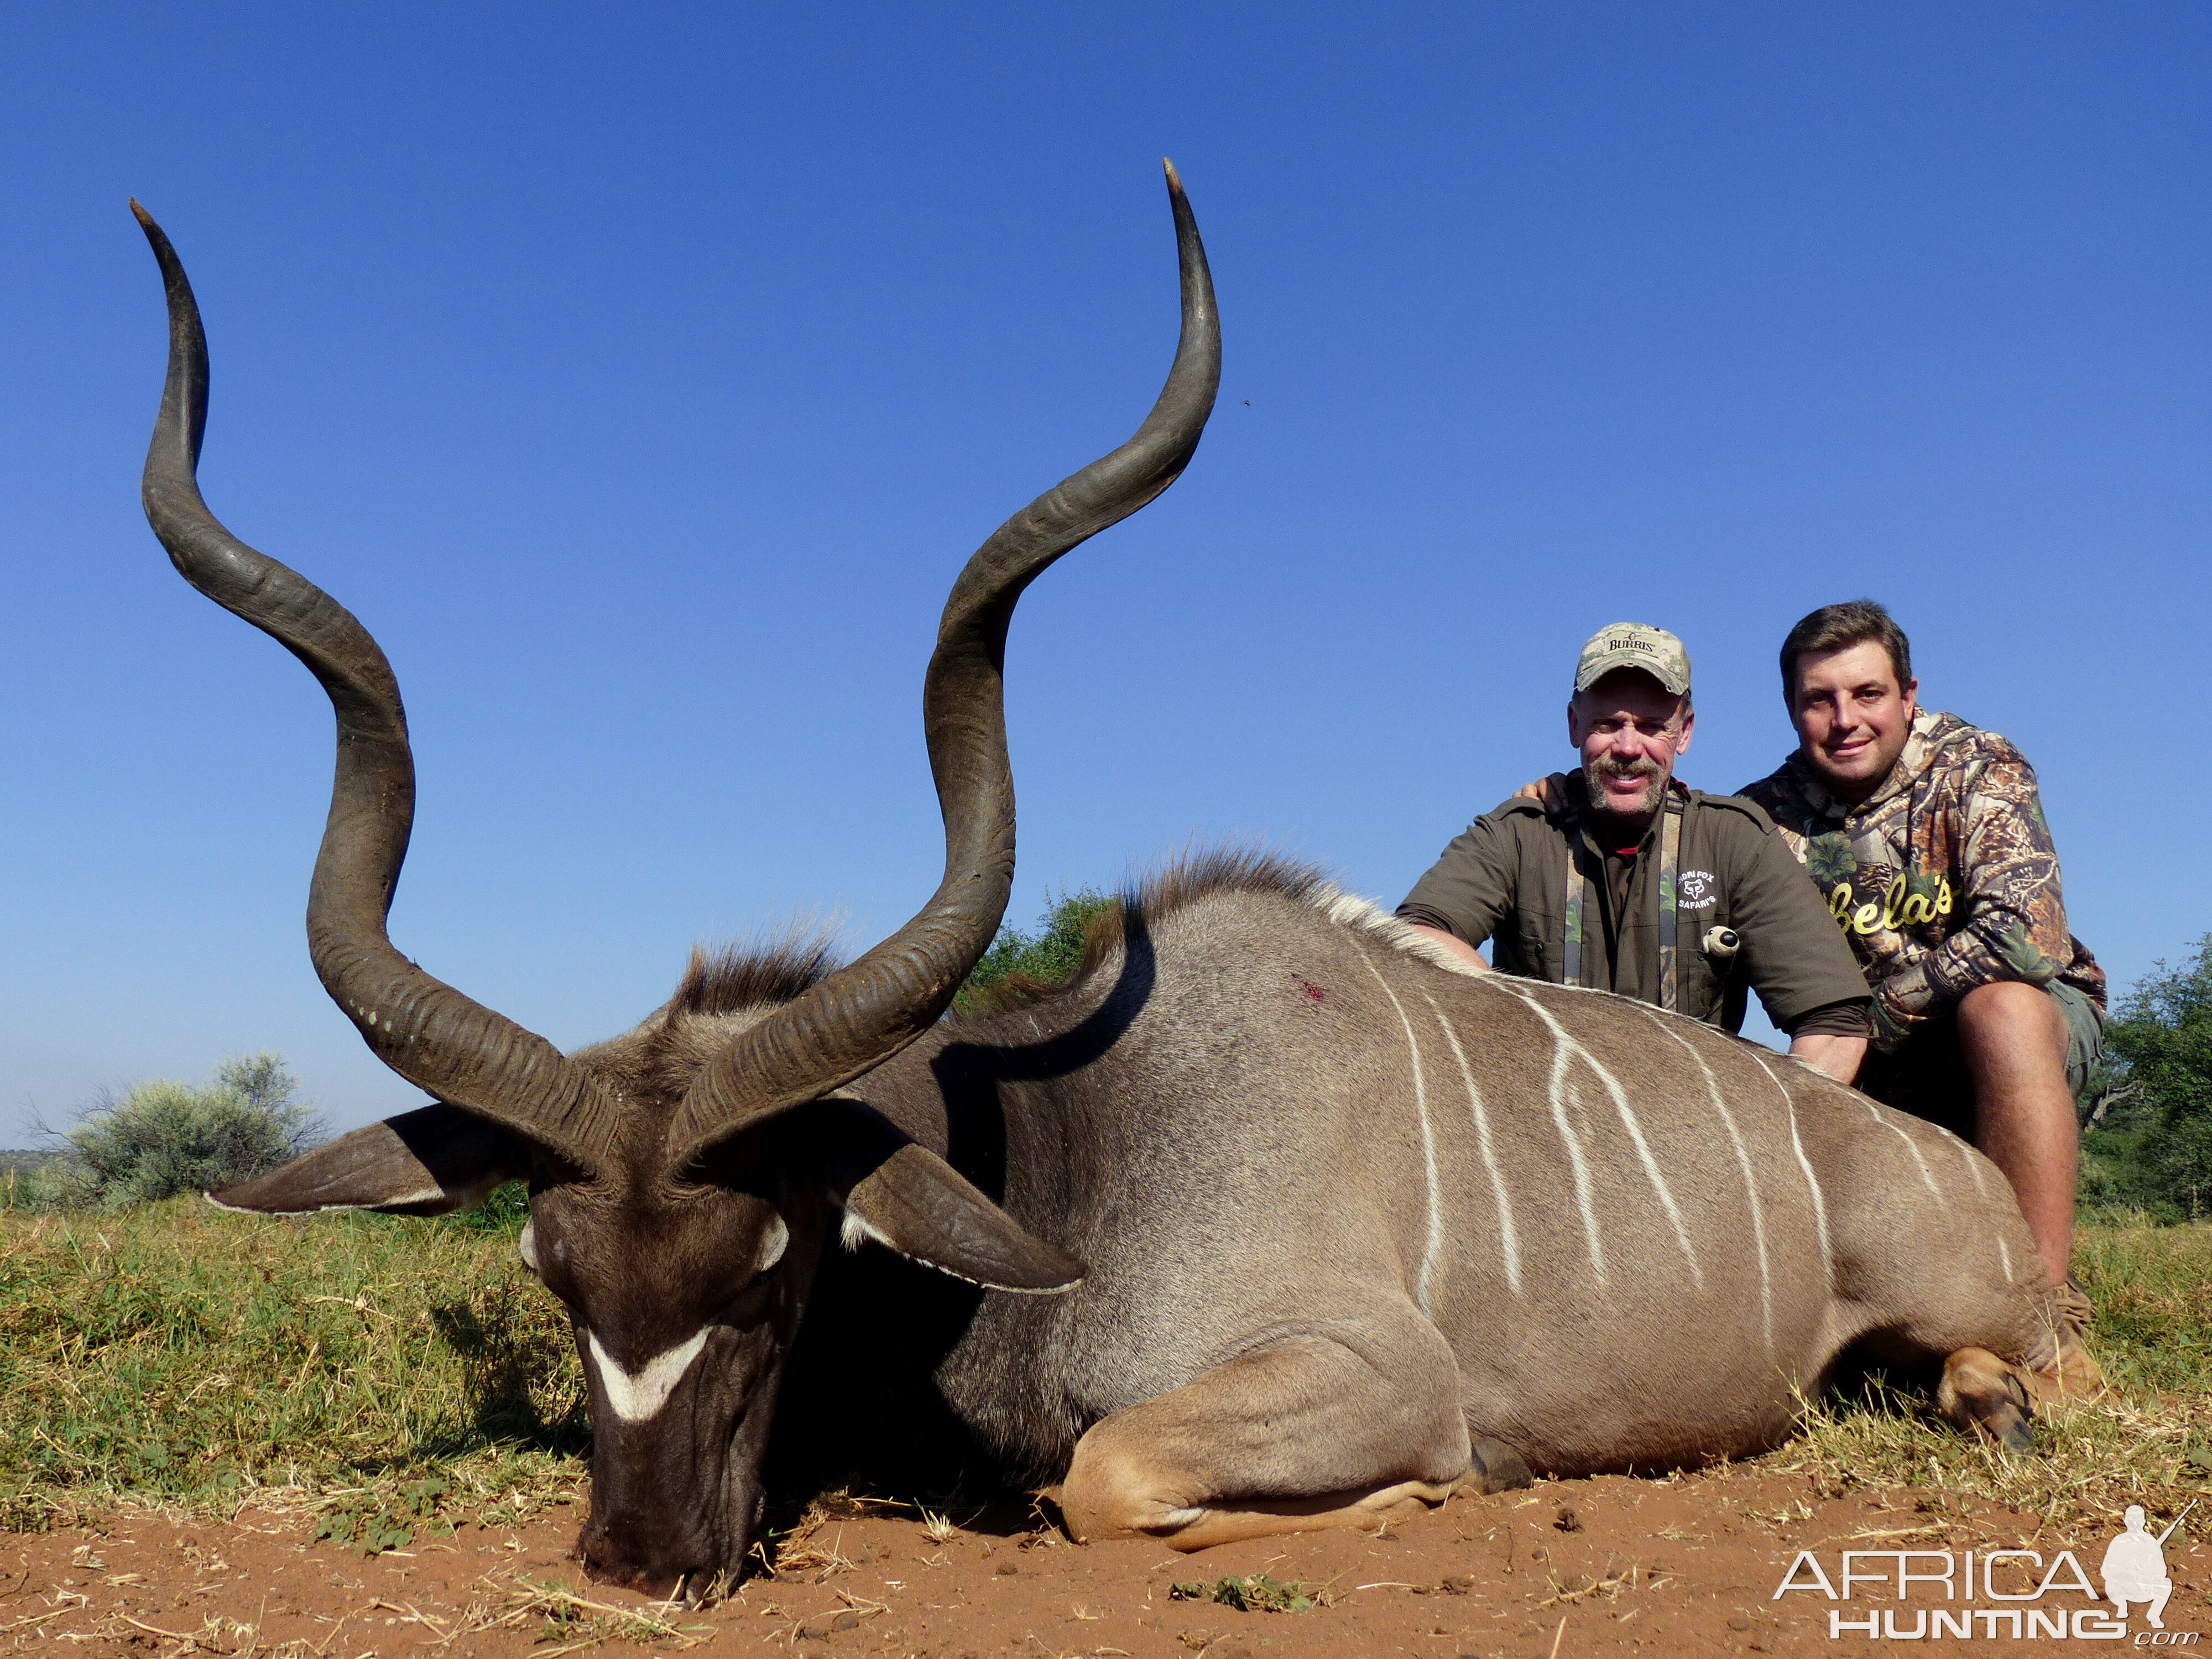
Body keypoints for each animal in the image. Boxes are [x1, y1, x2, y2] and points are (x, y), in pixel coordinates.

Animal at [138, 173, 2088, 1601]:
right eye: (554, 1273)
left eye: (770, 1269)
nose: (632, 1564)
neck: (1077, 1145)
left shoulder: (1368, 1371)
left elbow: (1108, 1473)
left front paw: (1422, 1502)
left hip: (1975, 1310)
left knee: (2012, 1369)